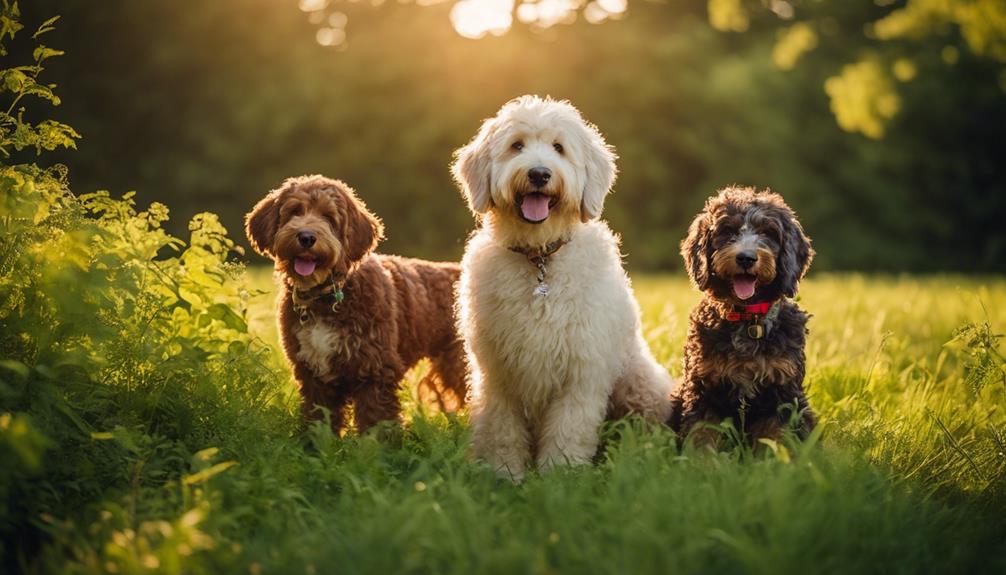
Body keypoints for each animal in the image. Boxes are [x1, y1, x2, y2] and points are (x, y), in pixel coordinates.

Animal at [245, 172, 464, 434]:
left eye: (329, 217)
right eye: (295, 211)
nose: (306, 237)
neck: (328, 296)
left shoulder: (375, 369)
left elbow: (376, 420)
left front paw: (376, 445)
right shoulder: (313, 374)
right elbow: (319, 419)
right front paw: (314, 442)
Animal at [452, 95, 672, 480]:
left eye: (559, 148)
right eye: (517, 145)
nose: (540, 173)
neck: (541, 258)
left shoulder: (581, 369)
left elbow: (569, 427)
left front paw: (560, 476)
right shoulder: (497, 372)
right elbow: (501, 427)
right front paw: (504, 473)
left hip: (642, 385)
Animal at [667, 185, 816, 446]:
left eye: (768, 232)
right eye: (728, 230)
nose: (746, 257)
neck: (748, 320)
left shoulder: (782, 393)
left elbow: (775, 439)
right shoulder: (703, 387)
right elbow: (701, 435)